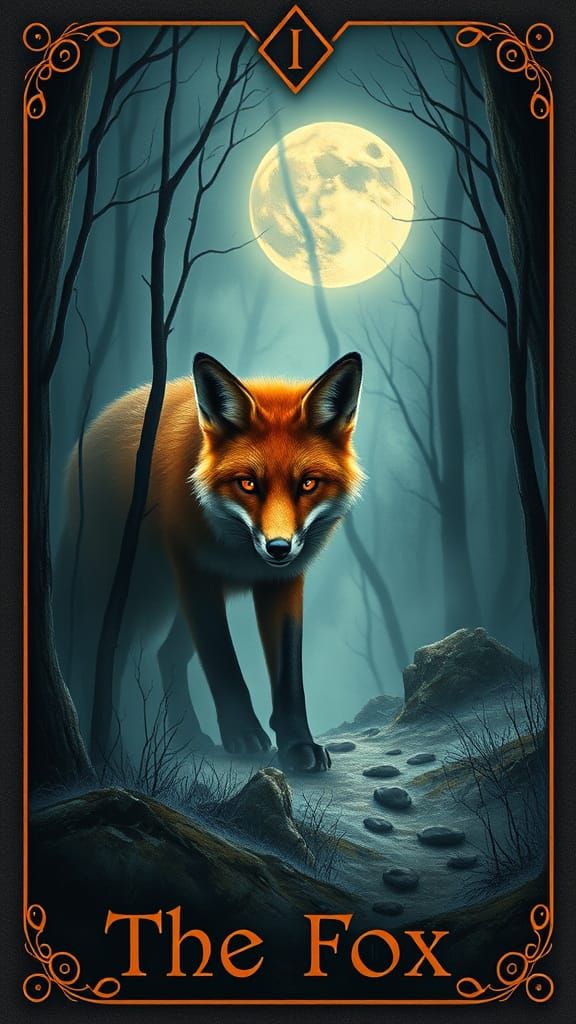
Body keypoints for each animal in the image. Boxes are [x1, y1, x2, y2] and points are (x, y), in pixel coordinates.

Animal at [55, 351, 364, 773]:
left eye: (308, 484)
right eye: (248, 483)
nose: (278, 548)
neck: (236, 548)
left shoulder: (283, 582)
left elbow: (288, 675)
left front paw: (298, 744)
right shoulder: (196, 573)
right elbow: (223, 662)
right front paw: (243, 734)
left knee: (166, 654)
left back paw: (187, 735)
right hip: (131, 595)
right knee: (101, 660)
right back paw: (111, 750)